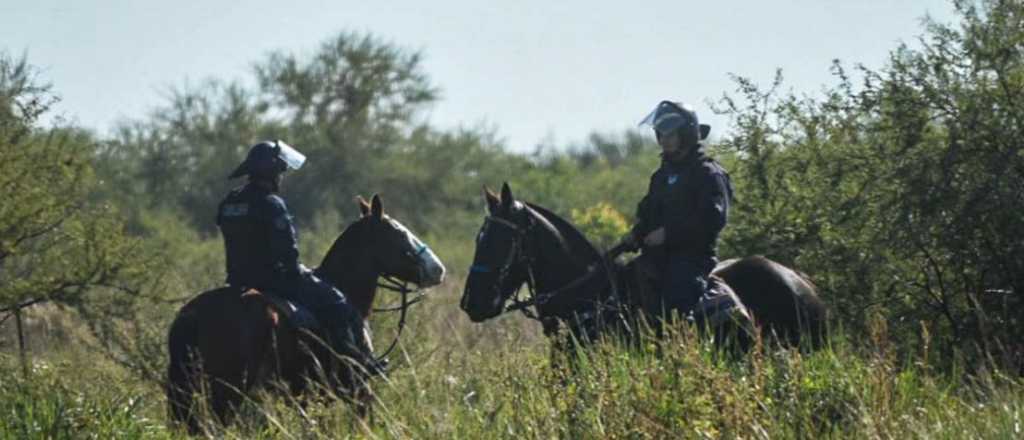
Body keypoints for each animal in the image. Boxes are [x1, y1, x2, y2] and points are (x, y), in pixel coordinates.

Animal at [164, 195, 444, 433]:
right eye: (399, 233)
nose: (438, 269)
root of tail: (193, 315)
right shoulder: (358, 390)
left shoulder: (307, 396)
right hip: (226, 392)